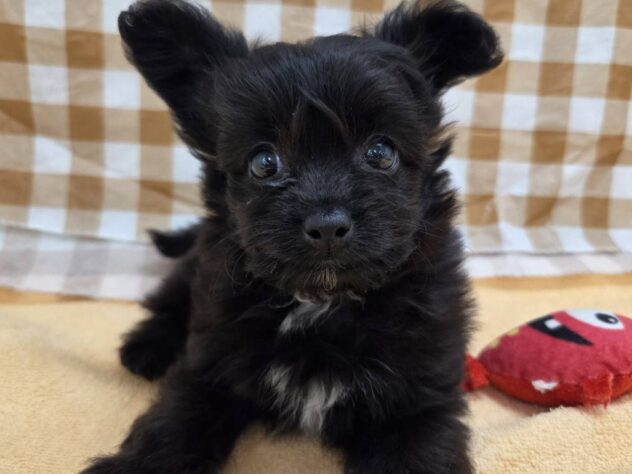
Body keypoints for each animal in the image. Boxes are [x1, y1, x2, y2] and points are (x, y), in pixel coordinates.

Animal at [82, 1, 502, 472]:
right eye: (264, 162)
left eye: (381, 153)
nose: (327, 225)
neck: (321, 302)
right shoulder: (209, 365)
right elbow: (173, 425)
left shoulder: (416, 399)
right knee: (168, 299)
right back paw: (146, 347)